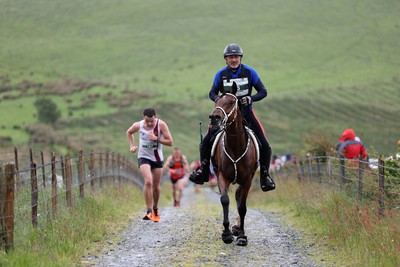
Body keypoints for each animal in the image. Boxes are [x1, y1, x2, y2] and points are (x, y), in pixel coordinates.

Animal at [209, 81, 260, 247]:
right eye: (216, 101)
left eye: (232, 102)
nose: (214, 118)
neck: (235, 146)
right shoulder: (221, 176)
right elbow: (225, 200)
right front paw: (226, 234)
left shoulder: (248, 179)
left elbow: (242, 207)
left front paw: (242, 236)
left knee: (239, 197)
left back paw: (238, 228)